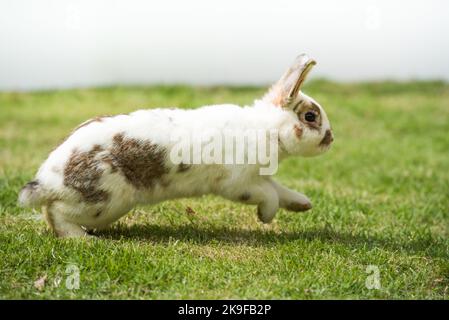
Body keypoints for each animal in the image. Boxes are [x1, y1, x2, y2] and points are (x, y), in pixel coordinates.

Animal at [17, 53, 332, 236]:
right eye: (310, 116)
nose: (330, 139)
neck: (266, 128)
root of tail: (47, 180)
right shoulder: (239, 184)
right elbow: (269, 195)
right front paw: (265, 217)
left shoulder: (259, 176)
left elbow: (280, 190)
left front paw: (303, 204)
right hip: (104, 203)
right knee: (55, 213)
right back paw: (82, 240)